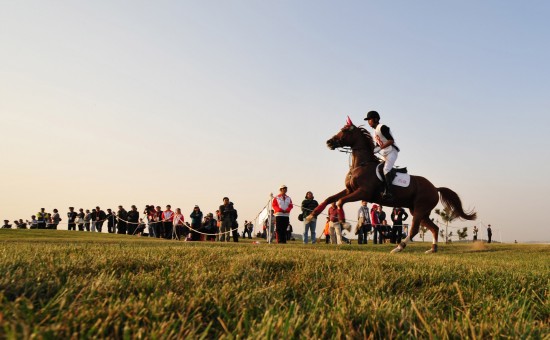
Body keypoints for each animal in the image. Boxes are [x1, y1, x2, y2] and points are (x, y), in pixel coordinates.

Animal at [308, 118, 476, 254]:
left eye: (344, 131)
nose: (329, 142)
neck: (362, 164)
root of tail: (435, 188)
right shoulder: (350, 190)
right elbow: (330, 199)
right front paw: (311, 215)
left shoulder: (363, 193)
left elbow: (340, 202)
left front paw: (345, 224)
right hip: (419, 211)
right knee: (433, 228)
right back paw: (432, 249)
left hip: (419, 209)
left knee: (414, 229)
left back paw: (398, 247)